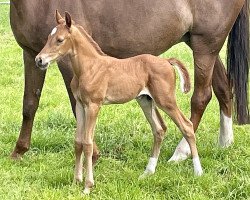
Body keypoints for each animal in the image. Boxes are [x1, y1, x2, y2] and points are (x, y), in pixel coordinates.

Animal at [9, 0, 248, 162]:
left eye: (60, 39)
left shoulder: (66, 62)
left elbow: (77, 107)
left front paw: (93, 154)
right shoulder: (33, 55)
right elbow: (29, 104)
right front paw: (19, 151)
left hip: (205, 45)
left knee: (201, 97)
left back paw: (181, 152)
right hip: (202, 45)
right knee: (223, 88)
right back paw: (225, 143)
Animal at [35, 10, 203, 194]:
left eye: (60, 40)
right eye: (48, 37)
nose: (39, 60)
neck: (89, 68)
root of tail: (166, 61)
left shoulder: (93, 105)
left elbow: (87, 143)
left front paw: (87, 186)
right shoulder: (80, 105)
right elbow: (78, 141)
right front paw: (75, 182)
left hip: (166, 100)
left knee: (186, 126)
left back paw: (198, 171)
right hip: (146, 101)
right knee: (159, 129)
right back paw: (148, 172)